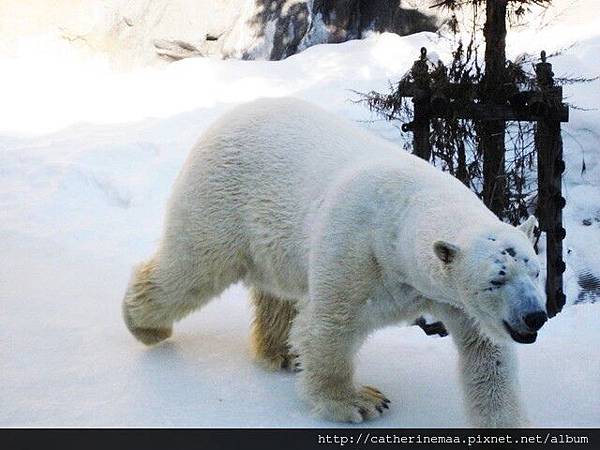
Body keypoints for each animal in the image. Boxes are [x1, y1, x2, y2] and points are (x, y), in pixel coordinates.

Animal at [123, 96, 548, 428]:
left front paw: (510, 425)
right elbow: (328, 326)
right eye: (496, 279)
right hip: (223, 199)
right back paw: (147, 325)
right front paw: (358, 402)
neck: (404, 207)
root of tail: (229, 116)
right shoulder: (357, 249)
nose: (534, 317)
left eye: (535, 271)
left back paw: (280, 352)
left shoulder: (455, 299)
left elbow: (488, 354)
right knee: (194, 267)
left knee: (276, 291)